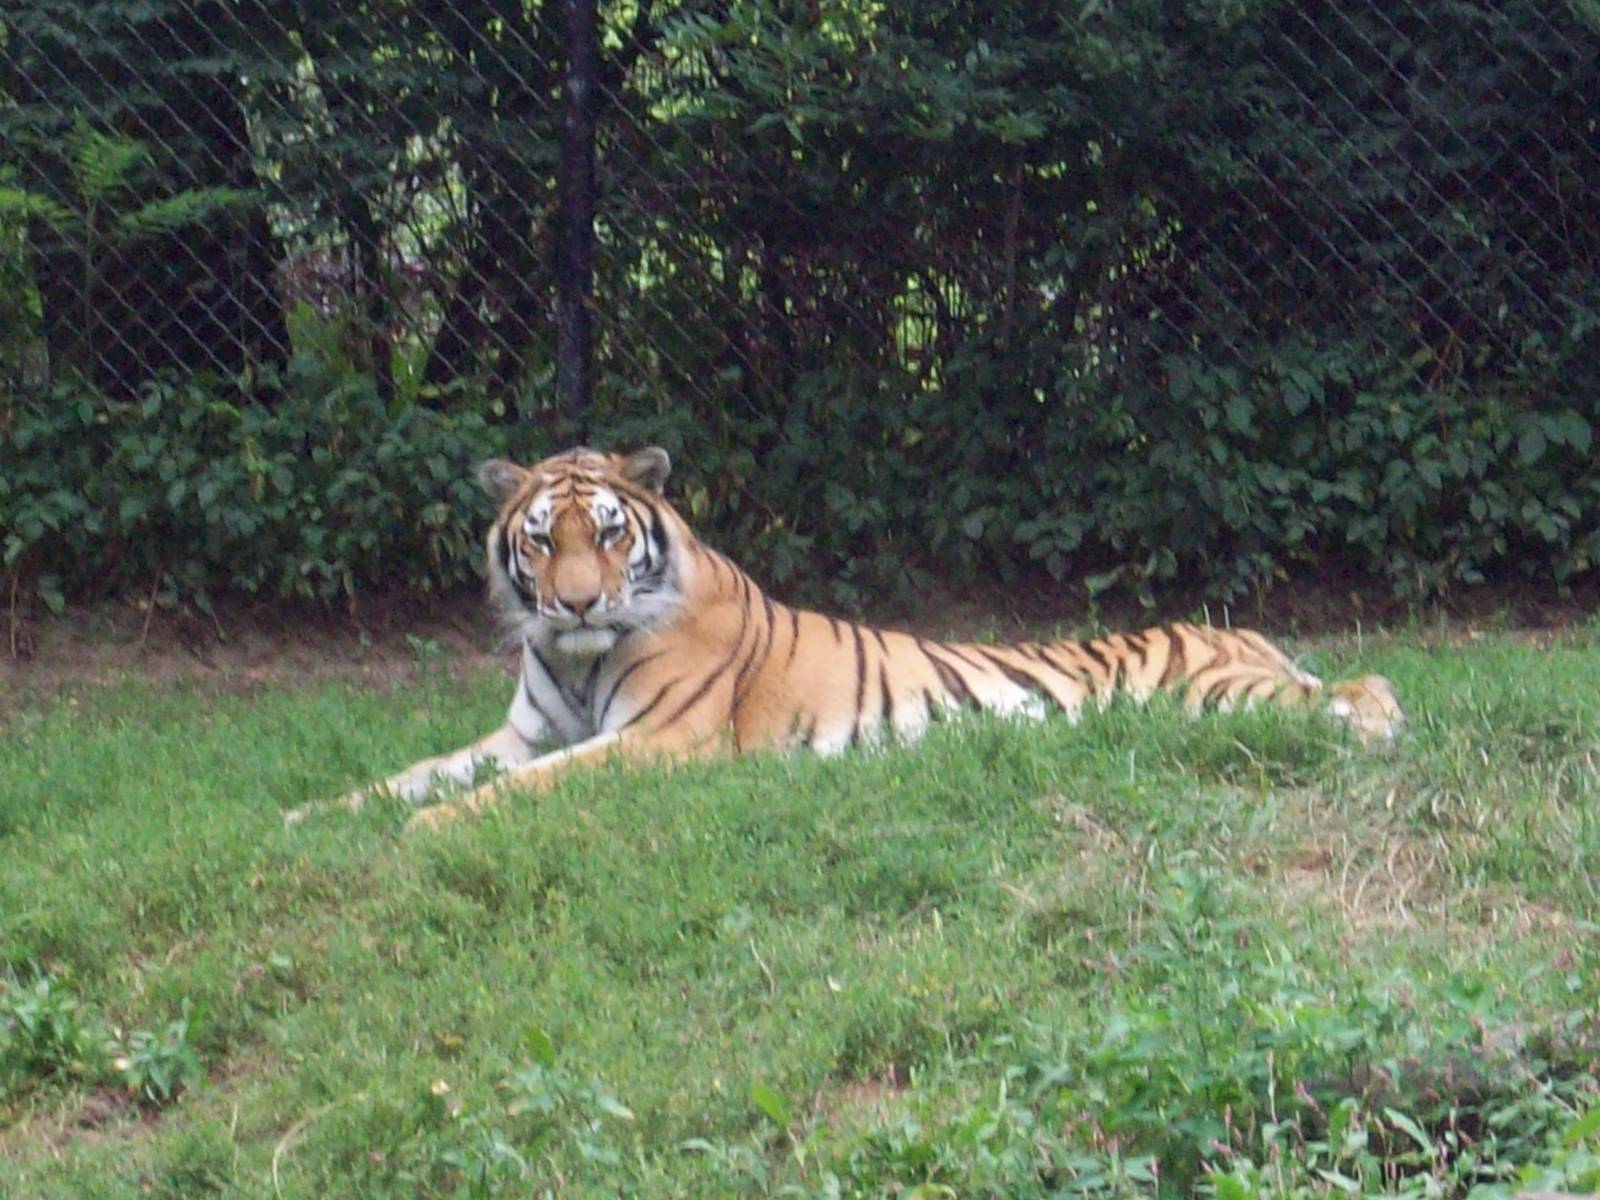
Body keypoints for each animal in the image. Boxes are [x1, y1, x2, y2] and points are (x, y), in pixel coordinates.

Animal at [287, 445, 1403, 833]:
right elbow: (415, 772)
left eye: (605, 534)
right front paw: (309, 816)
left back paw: (1377, 727)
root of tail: (1246, 631)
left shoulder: (660, 742)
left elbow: (517, 791)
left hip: (1212, 693)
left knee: (1357, 689)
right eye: (539, 538)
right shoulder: (522, 733)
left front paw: (424, 831)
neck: (570, 658)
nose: (573, 604)